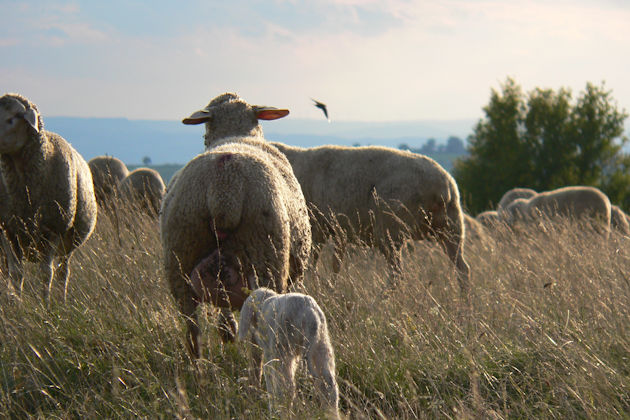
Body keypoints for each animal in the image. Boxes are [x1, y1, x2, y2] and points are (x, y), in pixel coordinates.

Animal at [0, 92, 97, 302]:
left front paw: (44, 304)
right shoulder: (9, 230)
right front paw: (16, 304)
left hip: (67, 242)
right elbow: (16, 273)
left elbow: (46, 274)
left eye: (12, 118)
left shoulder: (51, 230)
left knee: (62, 272)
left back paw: (61, 301)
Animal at [160, 139, 314, 358]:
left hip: (180, 258)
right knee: (259, 335)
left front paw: (227, 332)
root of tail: (224, 186)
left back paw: (197, 365)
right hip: (264, 260)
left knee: (192, 329)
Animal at [239, 288, 340, 418]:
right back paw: (332, 413)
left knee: (286, 387)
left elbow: (269, 377)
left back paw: (281, 412)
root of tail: (310, 315)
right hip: (321, 344)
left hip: (283, 347)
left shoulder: (270, 352)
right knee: (329, 385)